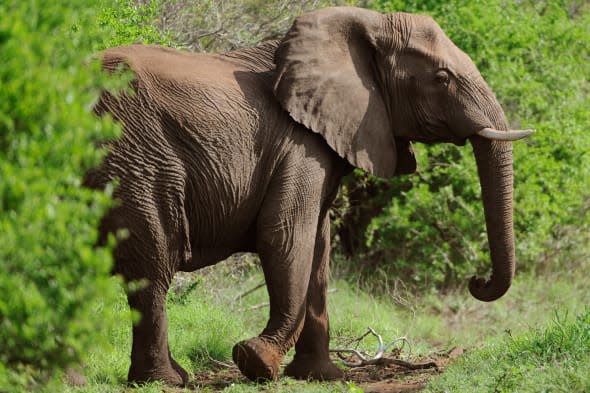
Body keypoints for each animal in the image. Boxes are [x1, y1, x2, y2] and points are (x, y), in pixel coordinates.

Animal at [86, 6, 536, 386]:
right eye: (441, 78)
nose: (476, 280)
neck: (366, 23)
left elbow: (319, 247)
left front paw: (320, 376)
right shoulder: (298, 142)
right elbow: (285, 234)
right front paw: (256, 362)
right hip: (134, 160)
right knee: (153, 264)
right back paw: (164, 382)